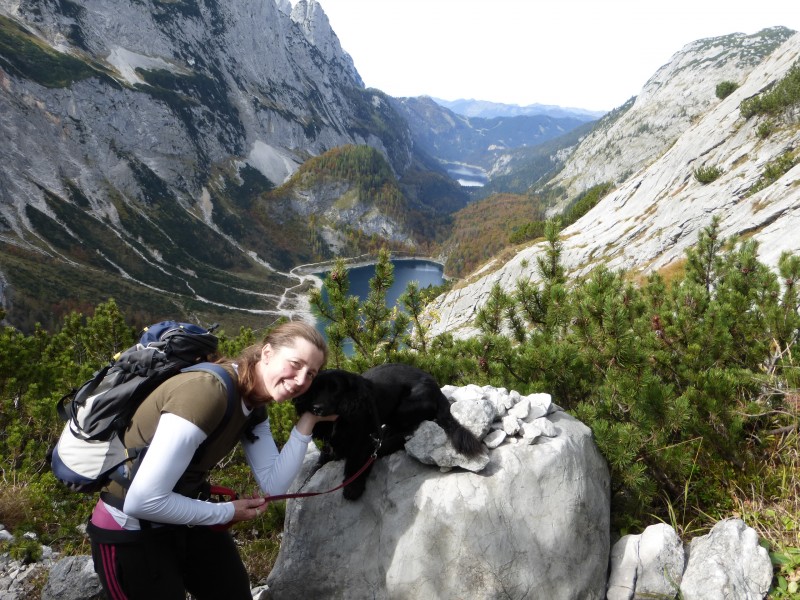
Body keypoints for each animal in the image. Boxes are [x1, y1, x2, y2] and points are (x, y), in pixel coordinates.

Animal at [292, 364, 482, 500]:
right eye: (315, 390)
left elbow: (355, 462)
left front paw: (352, 487)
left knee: (410, 427)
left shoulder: (364, 441)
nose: (316, 408)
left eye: (335, 391)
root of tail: (436, 388)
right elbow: (321, 460)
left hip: (403, 408)